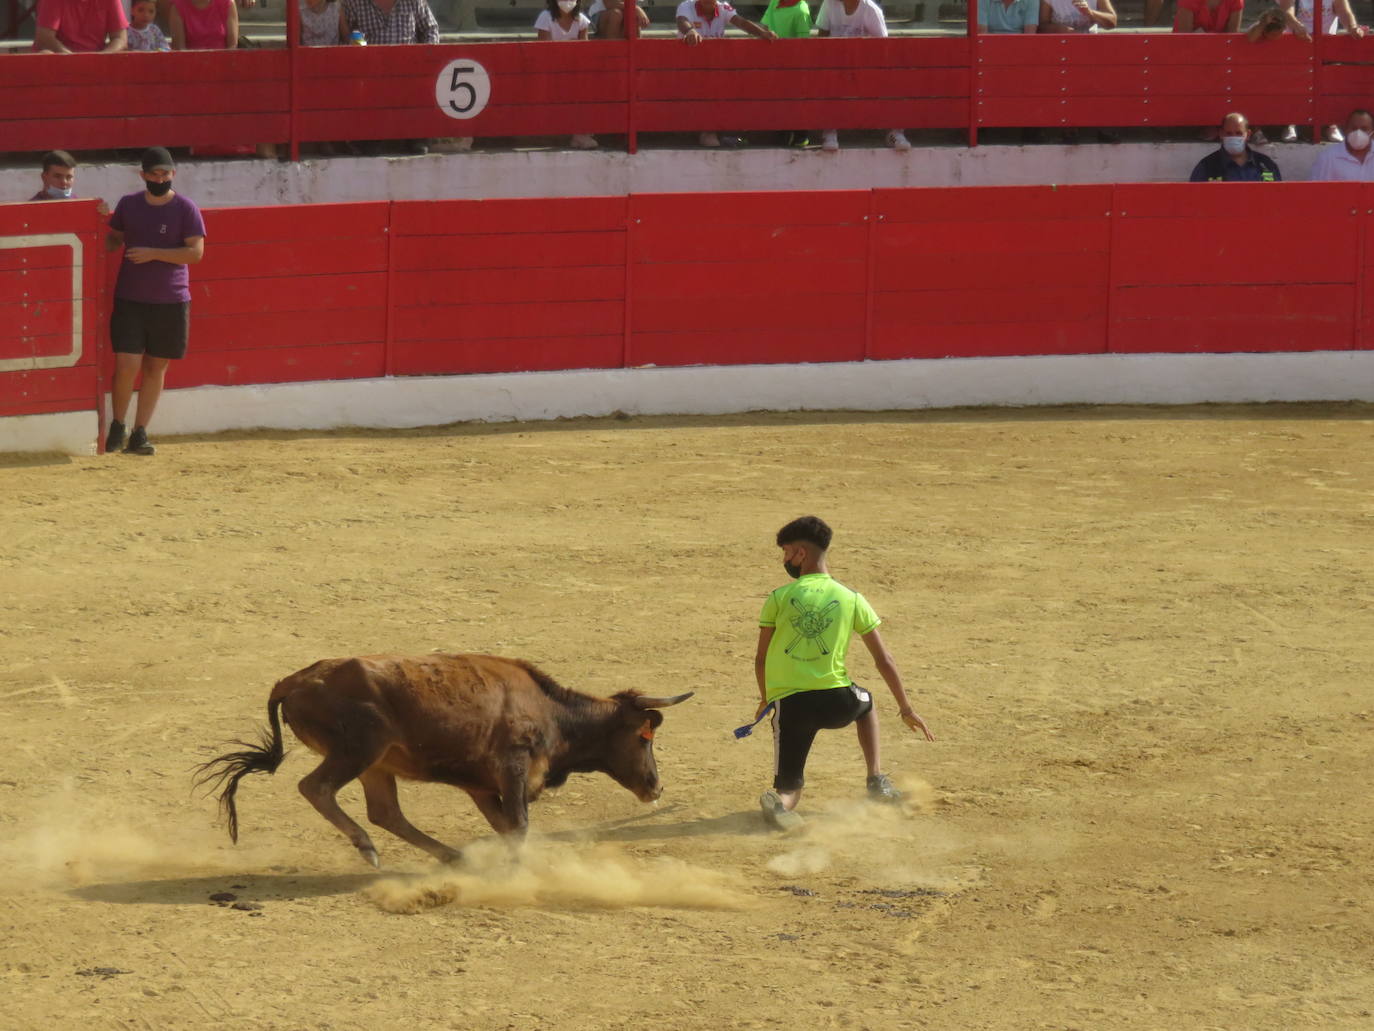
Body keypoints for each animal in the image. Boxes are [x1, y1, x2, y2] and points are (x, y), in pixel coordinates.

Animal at [193, 657, 692, 868]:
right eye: (644, 736)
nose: (656, 787)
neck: (550, 710)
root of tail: (291, 682)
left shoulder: (482, 786)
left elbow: (507, 827)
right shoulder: (512, 770)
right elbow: (519, 825)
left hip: (378, 765)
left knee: (385, 811)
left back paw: (450, 855)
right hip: (359, 751)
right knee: (316, 789)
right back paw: (368, 849)